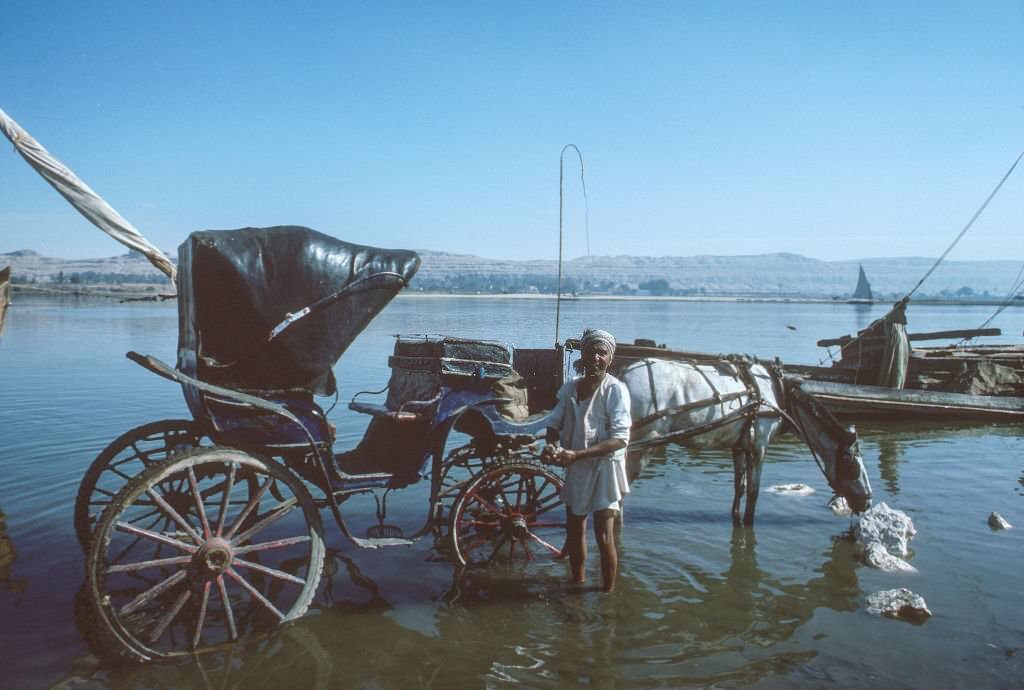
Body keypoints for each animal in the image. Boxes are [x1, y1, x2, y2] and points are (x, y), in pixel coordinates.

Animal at [614, 358, 872, 524]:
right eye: (852, 465)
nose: (867, 503)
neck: (777, 395)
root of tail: (624, 374)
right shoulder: (759, 448)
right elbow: (754, 492)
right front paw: (747, 523)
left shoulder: (739, 446)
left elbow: (740, 487)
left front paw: (735, 517)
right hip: (643, 444)